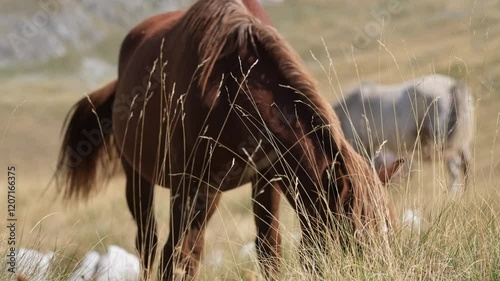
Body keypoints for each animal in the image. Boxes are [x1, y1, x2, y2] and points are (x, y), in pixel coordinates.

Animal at [54, 0, 398, 278]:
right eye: (355, 239)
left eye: (389, 232)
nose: (381, 271)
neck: (232, 85)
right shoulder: (188, 183)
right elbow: (175, 254)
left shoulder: (268, 179)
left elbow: (268, 249)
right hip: (140, 178)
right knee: (150, 243)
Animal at [334, 73, 474, 192]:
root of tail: (452, 86)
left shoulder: (359, 146)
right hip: (461, 143)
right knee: (466, 166)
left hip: (443, 143)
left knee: (455, 169)